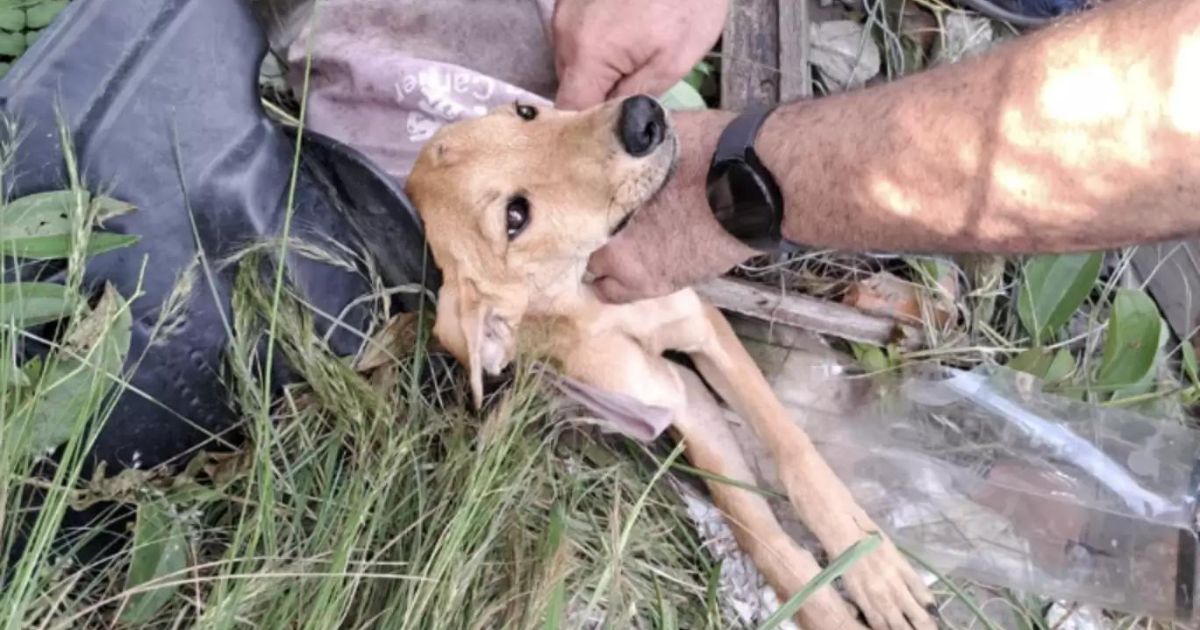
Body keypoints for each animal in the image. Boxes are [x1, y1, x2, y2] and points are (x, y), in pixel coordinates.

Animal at [403, 94, 936, 628]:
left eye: (525, 113)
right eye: (515, 217)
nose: (641, 118)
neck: (592, 301)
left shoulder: (704, 329)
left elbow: (795, 452)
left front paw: (872, 567)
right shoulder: (678, 397)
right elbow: (755, 529)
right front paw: (827, 607)